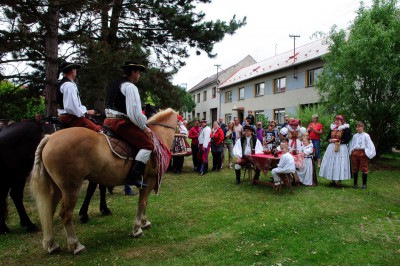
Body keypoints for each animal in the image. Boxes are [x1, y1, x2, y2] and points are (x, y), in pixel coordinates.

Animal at [29, 108, 177, 254]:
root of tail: (49, 138)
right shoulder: (148, 180)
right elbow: (142, 203)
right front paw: (137, 228)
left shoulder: (147, 182)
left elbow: (145, 203)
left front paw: (144, 222)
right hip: (71, 188)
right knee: (65, 214)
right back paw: (76, 245)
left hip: (58, 188)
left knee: (49, 210)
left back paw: (51, 244)